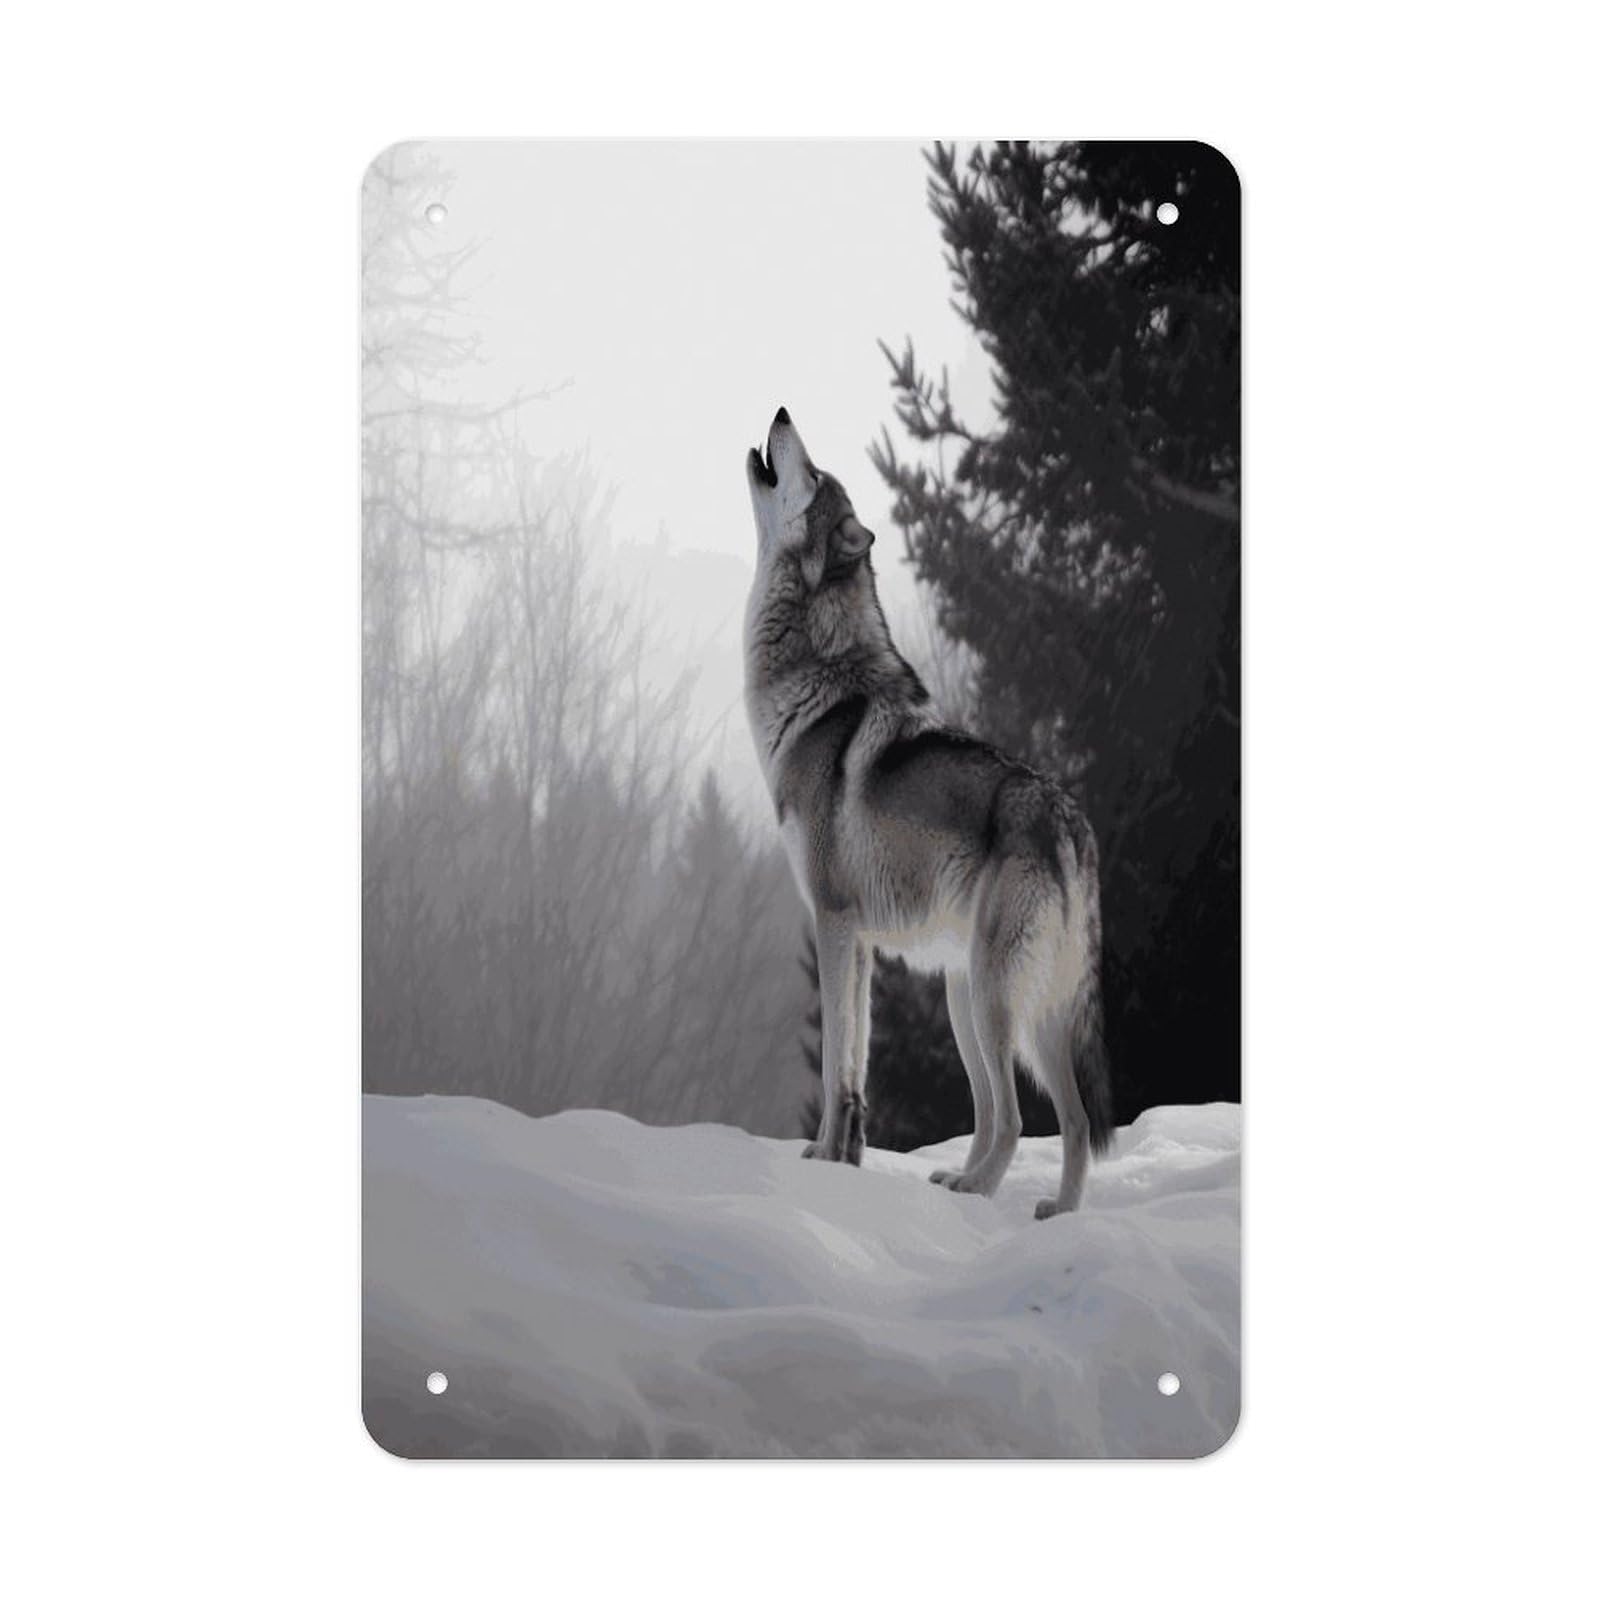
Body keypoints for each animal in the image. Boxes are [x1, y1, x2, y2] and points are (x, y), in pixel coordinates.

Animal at [743, 408, 1114, 1218]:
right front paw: (842, 1158)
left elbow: (835, 1065)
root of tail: (1069, 820)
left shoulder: (833, 923)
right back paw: (1049, 1212)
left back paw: (980, 1192)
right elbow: (853, 1065)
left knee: (1016, 1119)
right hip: (980, 998)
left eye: (811, 473)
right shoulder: (860, 944)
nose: (781, 413)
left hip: (993, 999)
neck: (817, 679)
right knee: (1061, 1119)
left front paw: (824, 1158)